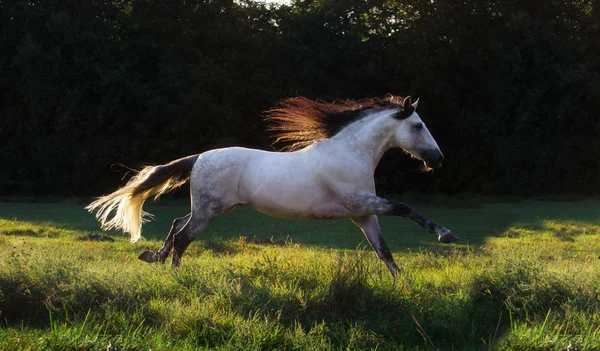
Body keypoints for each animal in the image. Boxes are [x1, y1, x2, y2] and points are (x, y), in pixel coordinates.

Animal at [86, 95, 458, 278]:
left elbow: (384, 250)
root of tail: (198, 157)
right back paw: (175, 273)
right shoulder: (361, 203)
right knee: (183, 236)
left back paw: (154, 257)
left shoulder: (364, 215)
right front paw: (445, 235)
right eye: (418, 125)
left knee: (177, 225)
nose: (439, 158)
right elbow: (405, 208)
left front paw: (401, 282)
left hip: (208, 207)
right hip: (210, 209)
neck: (351, 154)